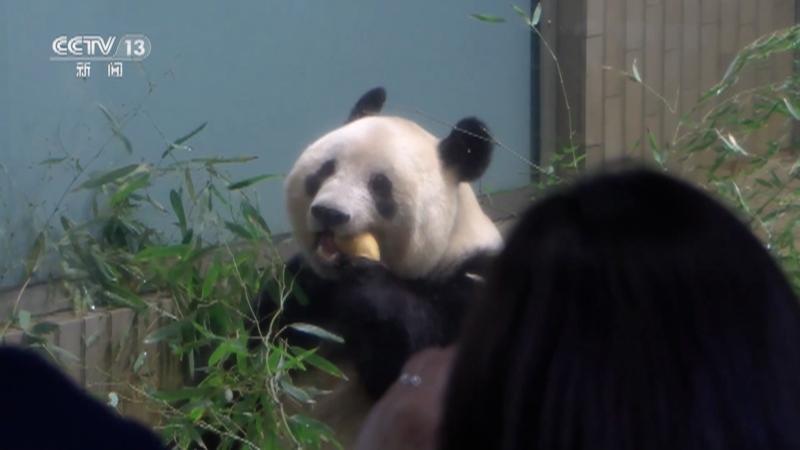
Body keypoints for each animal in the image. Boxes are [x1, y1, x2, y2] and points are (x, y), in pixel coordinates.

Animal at [199, 86, 500, 448]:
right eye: (326, 169)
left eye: (379, 185)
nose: (329, 212)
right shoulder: (302, 290)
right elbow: (244, 358)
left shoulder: (474, 284)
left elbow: (411, 367)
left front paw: (371, 289)